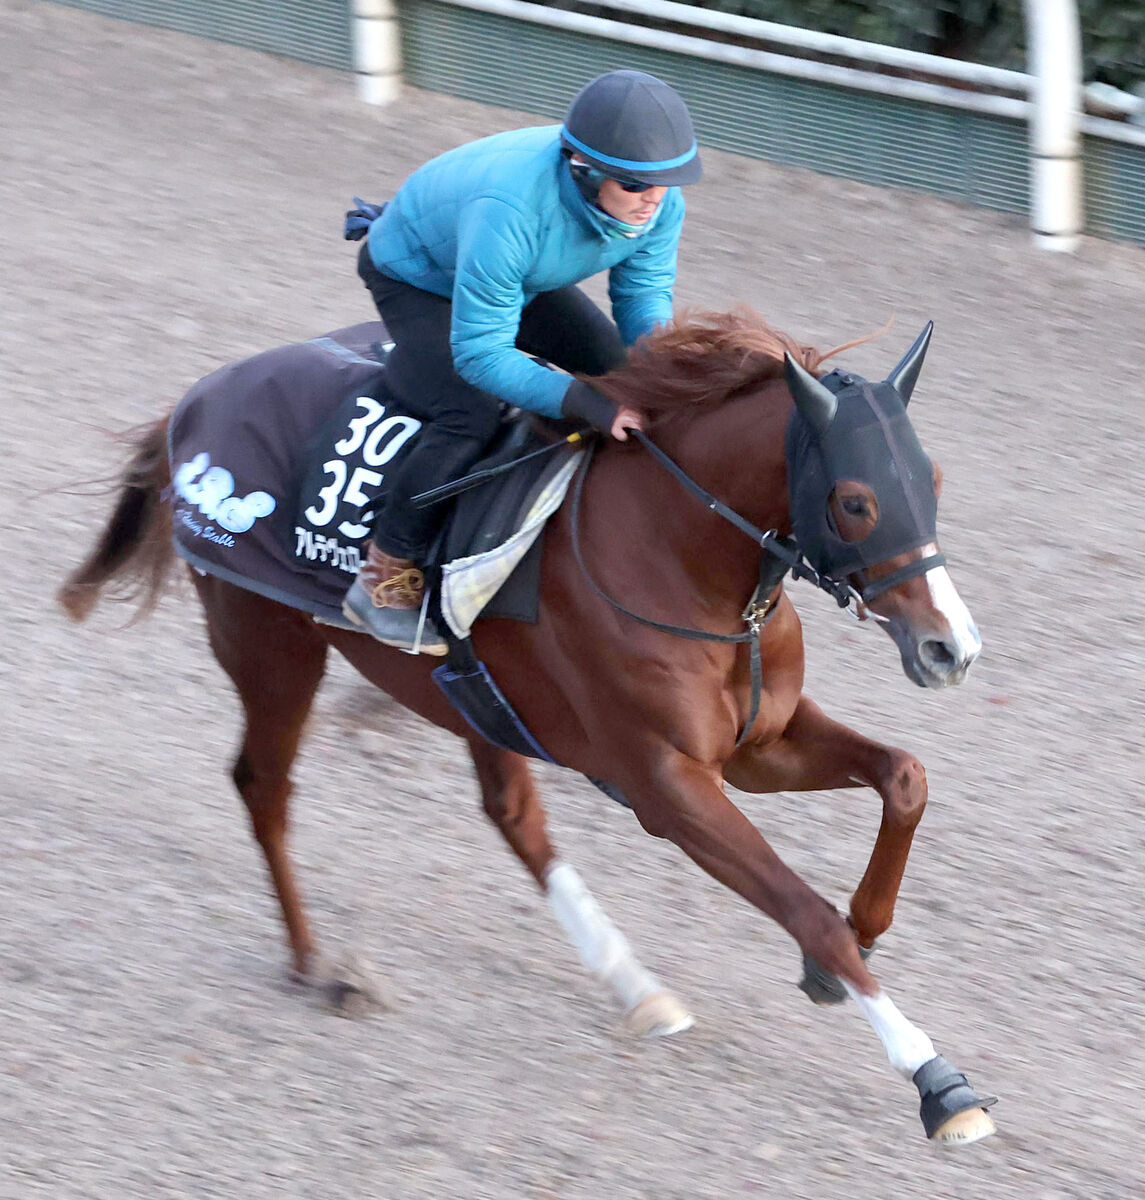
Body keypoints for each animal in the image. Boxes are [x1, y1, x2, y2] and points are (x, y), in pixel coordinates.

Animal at [60, 307, 988, 1142]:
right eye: (856, 501)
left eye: (933, 479)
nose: (950, 647)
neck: (680, 556)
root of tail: (195, 401)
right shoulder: (667, 783)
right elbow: (804, 910)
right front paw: (934, 1078)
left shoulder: (758, 745)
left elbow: (904, 777)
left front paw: (860, 938)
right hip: (270, 644)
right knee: (265, 787)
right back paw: (317, 965)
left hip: (467, 695)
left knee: (511, 815)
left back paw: (636, 988)